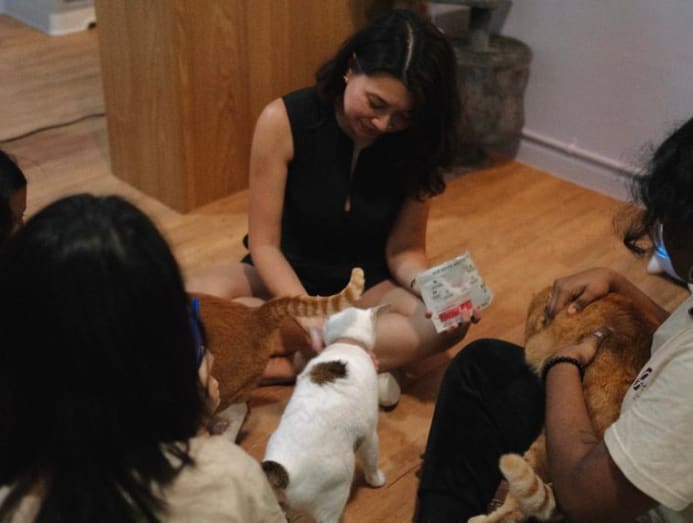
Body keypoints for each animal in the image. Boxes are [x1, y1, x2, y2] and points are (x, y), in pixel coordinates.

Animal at [262, 305, 388, 523]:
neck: (347, 342)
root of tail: (286, 471)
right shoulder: (370, 435)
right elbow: (372, 461)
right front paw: (376, 480)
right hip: (334, 496)